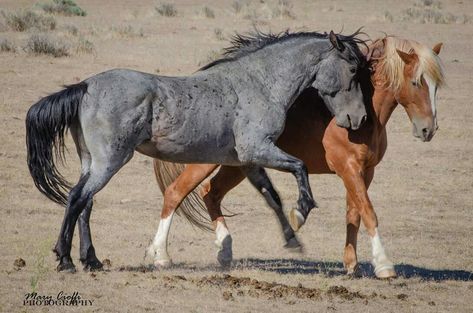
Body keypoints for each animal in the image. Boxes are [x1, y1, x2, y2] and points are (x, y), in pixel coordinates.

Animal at [150, 36, 442, 278]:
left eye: (437, 85)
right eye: (416, 82)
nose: (428, 130)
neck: (369, 118)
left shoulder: (364, 172)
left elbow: (354, 214)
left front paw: (351, 265)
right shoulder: (348, 169)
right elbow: (369, 213)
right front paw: (383, 265)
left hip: (236, 165)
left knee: (211, 193)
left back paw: (225, 251)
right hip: (208, 162)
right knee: (176, 192)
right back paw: (161, 255)